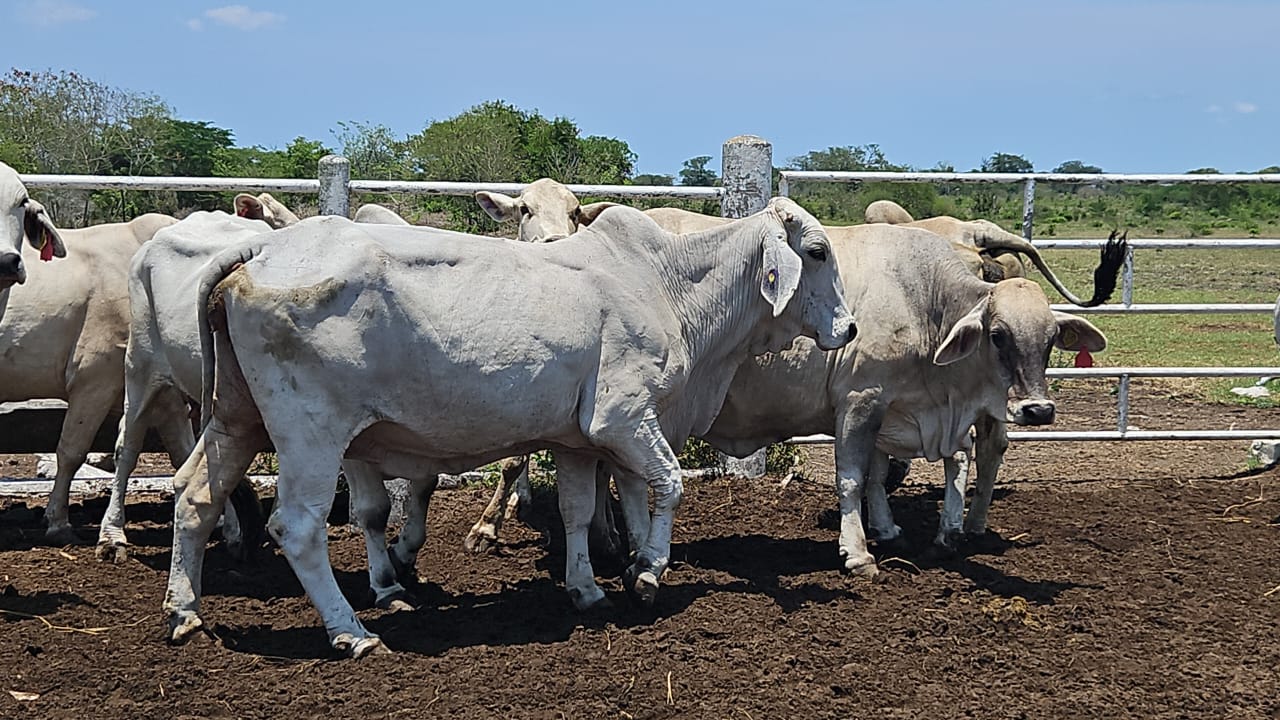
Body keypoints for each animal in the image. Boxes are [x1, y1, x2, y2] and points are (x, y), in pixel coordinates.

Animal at [163, 199, 855, 657]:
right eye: (817, 252)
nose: (849, 328)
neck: (669, 285)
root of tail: (262, 248)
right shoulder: (625, 416)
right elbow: (670, 484)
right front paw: (648, 573)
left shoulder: (579, 439)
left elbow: (580, 511)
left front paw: (590, 588)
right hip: (312, 433)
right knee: (298, 527)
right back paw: (352, 632)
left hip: (235, 419)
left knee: (194, 497)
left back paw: (185, 613)